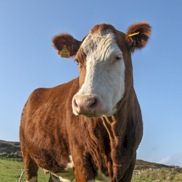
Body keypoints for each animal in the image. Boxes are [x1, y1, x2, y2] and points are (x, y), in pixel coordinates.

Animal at [19, 22, 151, 182]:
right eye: (77, 60)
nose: (84, 102)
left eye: (118, 57)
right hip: (27, 155)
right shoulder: (81, 158)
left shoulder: (130, 162)